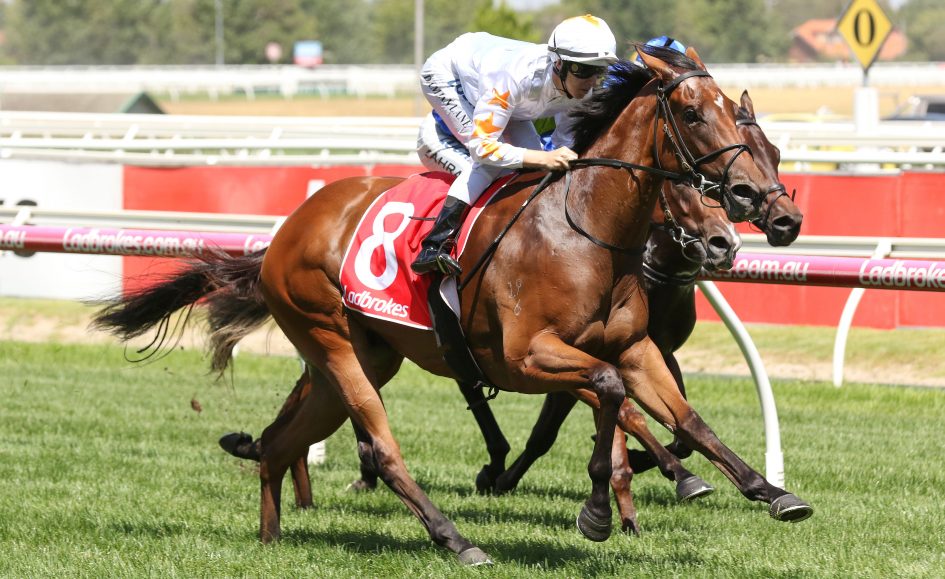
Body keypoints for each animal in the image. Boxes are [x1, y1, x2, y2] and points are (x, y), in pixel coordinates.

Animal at [93, 45, 811, 565]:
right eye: (692, 114)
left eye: (745, 120)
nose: (745, 214)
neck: (586, 229)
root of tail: (286, 231)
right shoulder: (526, 357)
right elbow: (608, 394)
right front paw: (596, 513)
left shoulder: (634, 348)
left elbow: (688, 420)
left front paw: (772, 492)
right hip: (330, 338)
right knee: (380, 449)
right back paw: (458, 539)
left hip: (362, 355)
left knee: (279, 441)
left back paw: (272, 537)